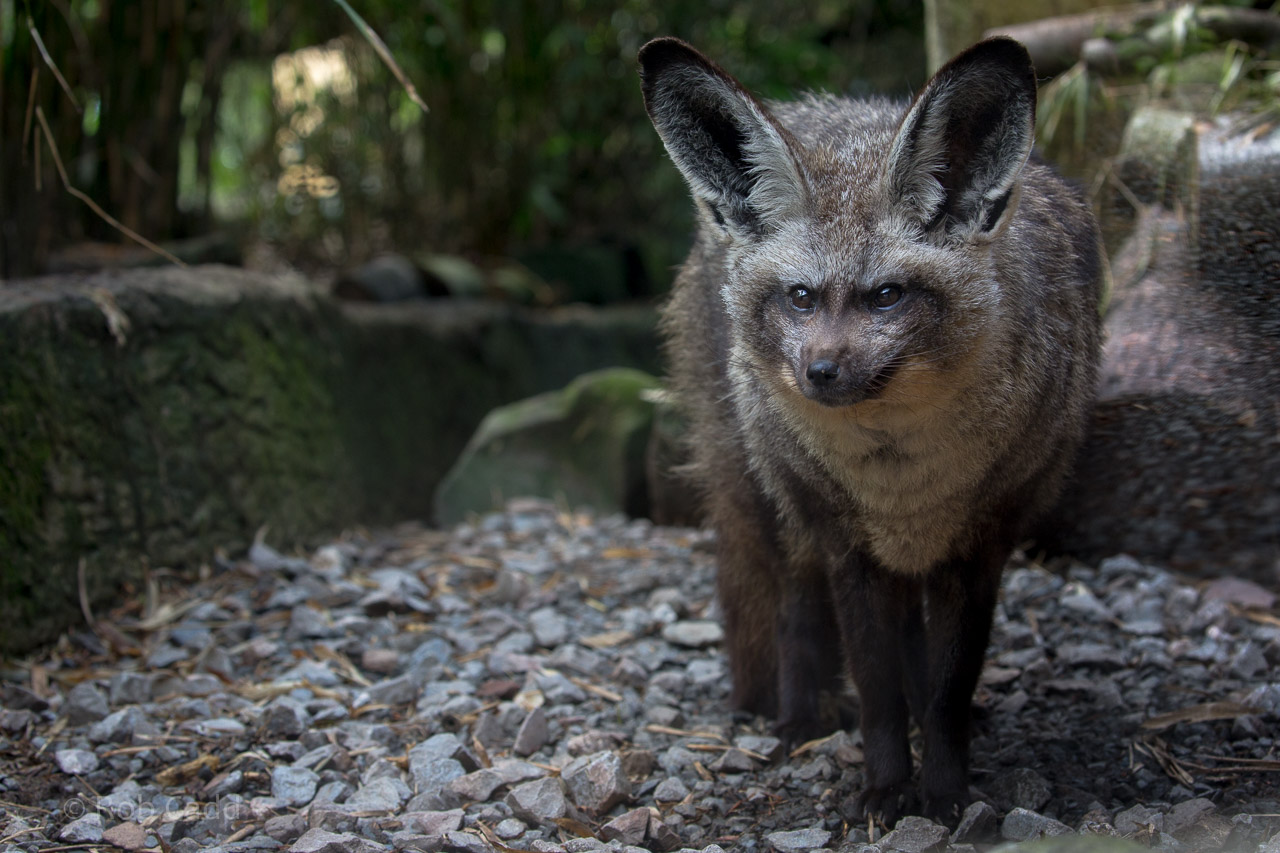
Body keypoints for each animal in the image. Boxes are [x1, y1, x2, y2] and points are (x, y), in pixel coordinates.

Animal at [638, 36, 1103, 822]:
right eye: (800, 297)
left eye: (886, 296)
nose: (820, 372)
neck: (902, 482)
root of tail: (830, 107)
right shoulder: (847, 545)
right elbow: (877, 690)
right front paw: (886, 788)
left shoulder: (978, 546)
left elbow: (947, 691)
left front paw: (945, 794)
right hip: (774, 505)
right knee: (794, 606)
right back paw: (798, 719)